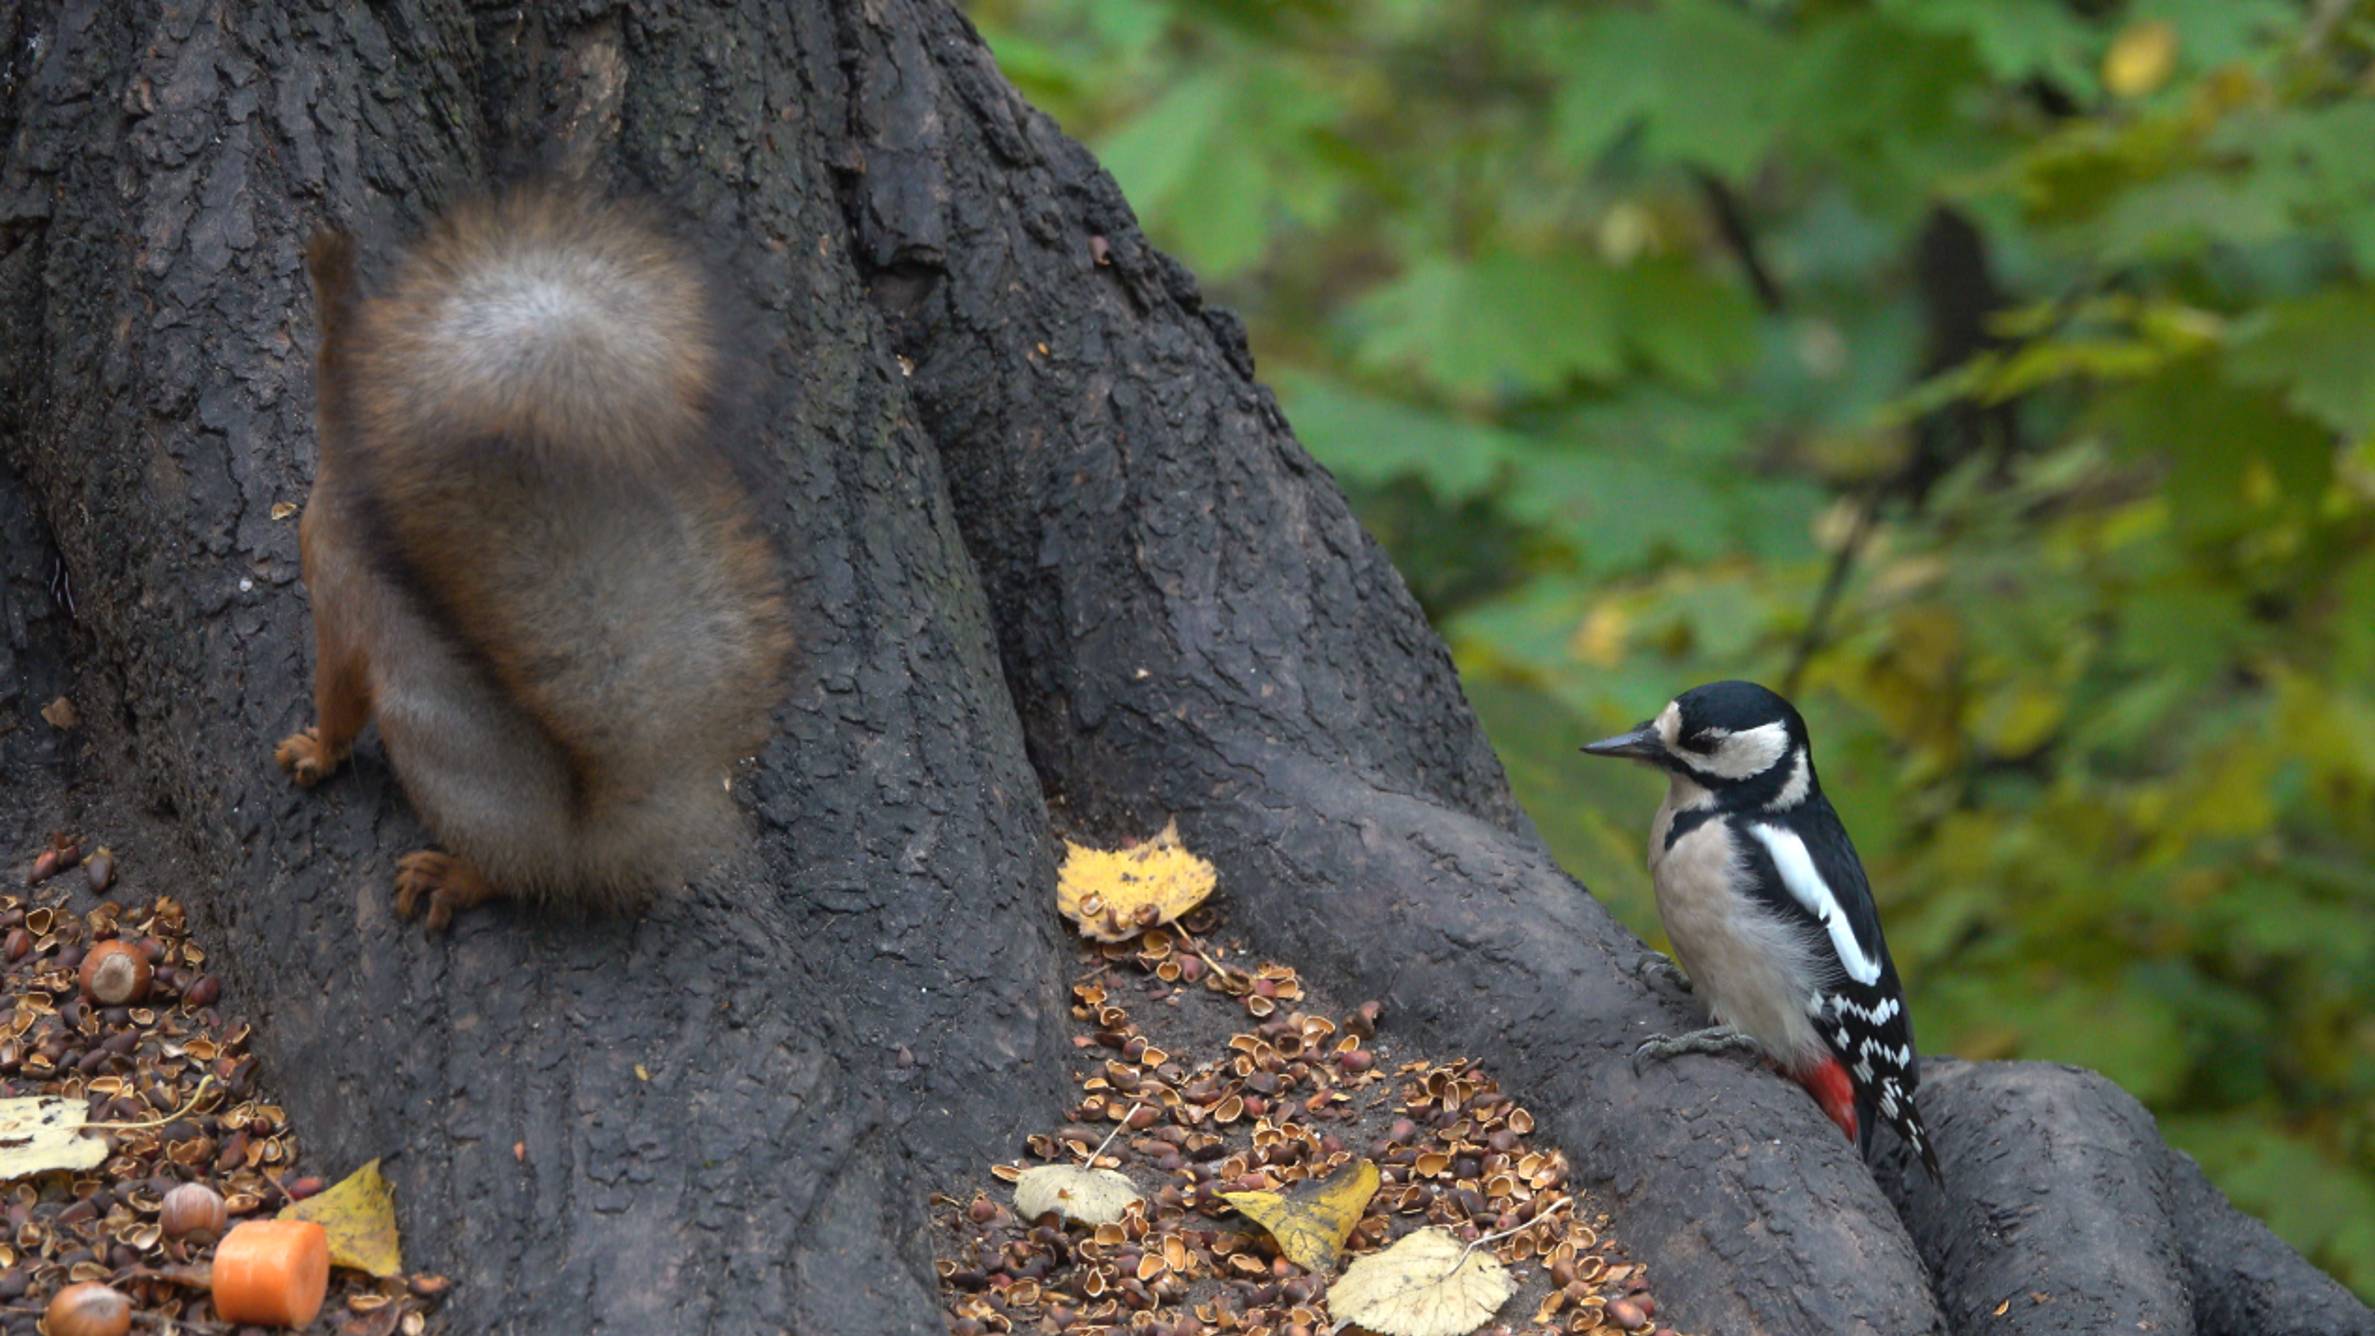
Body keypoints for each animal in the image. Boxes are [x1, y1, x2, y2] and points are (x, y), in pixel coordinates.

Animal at [269, 188, 788, 930]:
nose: (320, 236)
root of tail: (579, 851)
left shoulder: (338, 590)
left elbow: (339, 689)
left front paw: (316, 750)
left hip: (434, 755)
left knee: (514, 876)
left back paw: (454, 877)